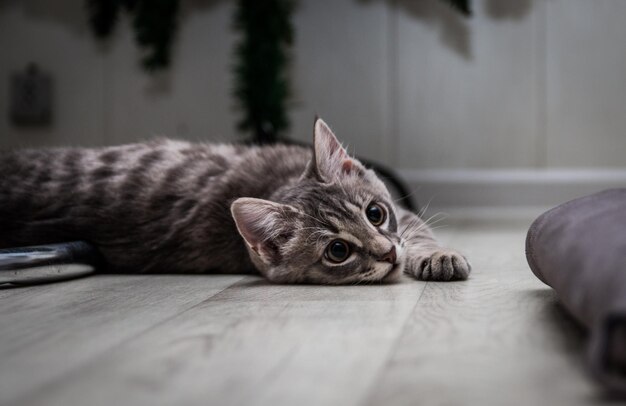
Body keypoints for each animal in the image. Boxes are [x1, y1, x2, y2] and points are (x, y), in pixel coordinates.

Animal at [0, 116, 468, 284]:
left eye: (375, 213)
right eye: (338, 251)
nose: (388, 253)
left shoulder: (403, 217)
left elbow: (417, 231)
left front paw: (436, 255)